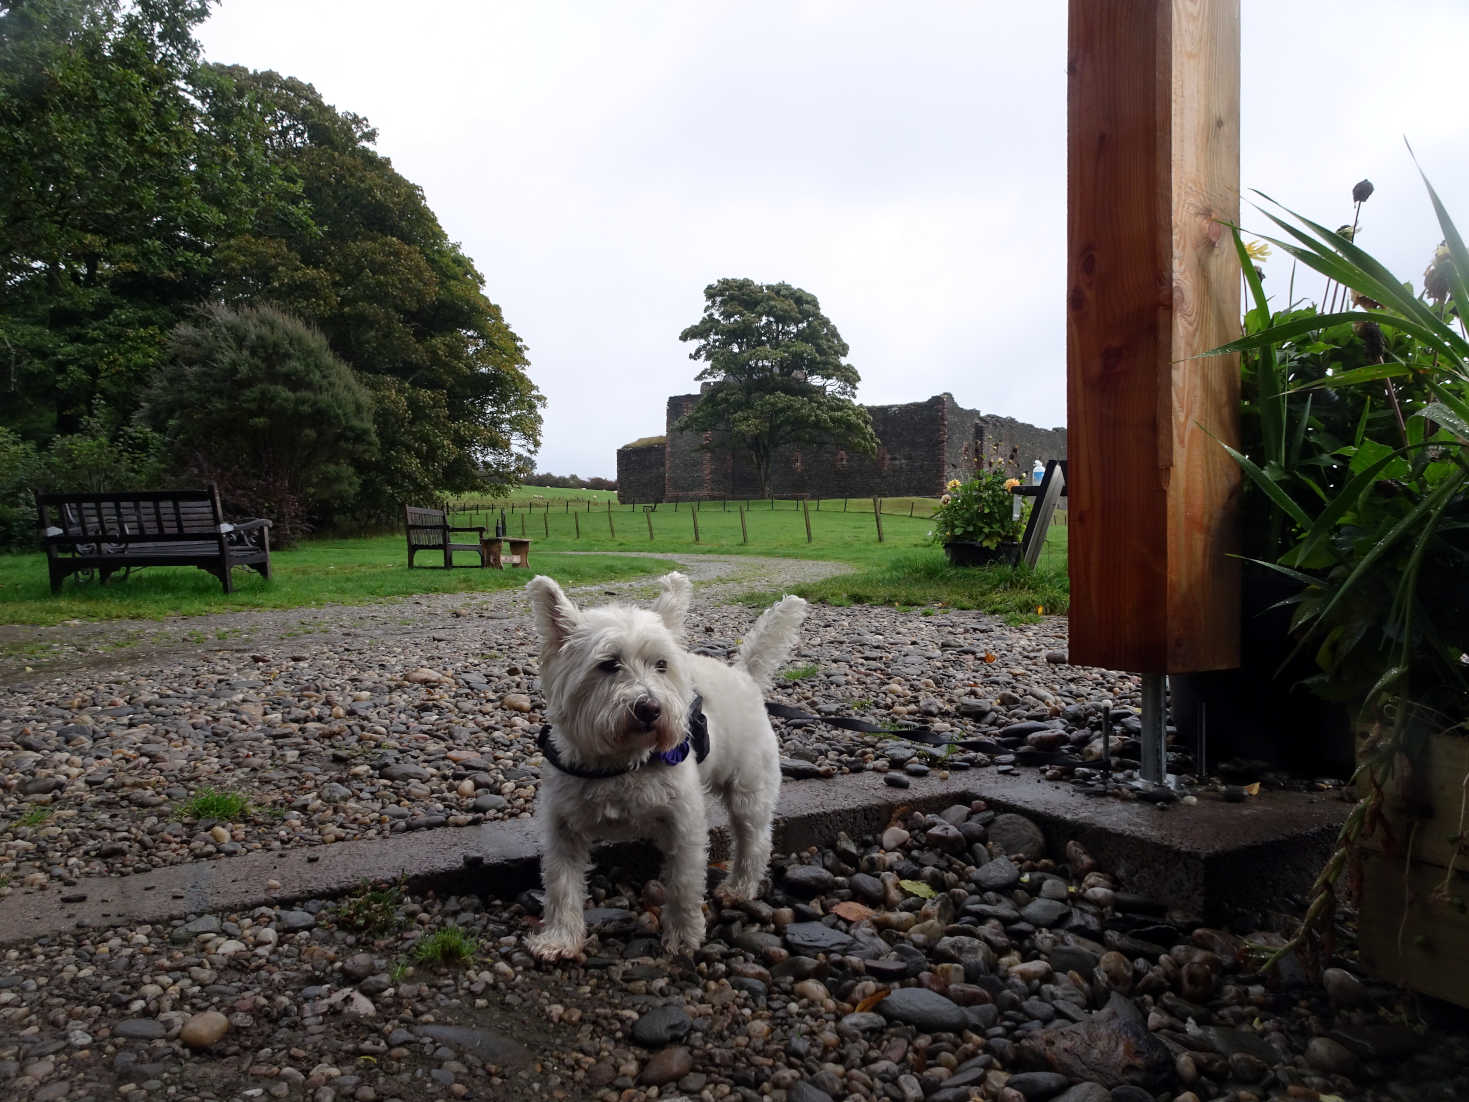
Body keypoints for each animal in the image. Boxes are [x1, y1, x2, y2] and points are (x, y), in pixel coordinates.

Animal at [525, 573, 810, 963]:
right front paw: (559, 939)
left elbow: (683, 885)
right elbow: (561, 885)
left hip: (749, 790)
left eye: (661, 664)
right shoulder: (562, 827)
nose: (650, 708)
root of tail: (744, 676)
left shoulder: (684, 824)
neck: (620, 763)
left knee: (754, 840)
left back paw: (739, 886)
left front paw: (683, 936)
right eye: (608, 664)